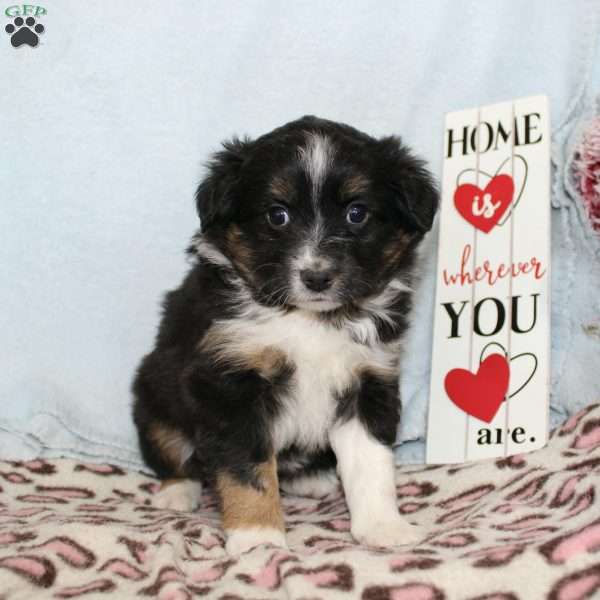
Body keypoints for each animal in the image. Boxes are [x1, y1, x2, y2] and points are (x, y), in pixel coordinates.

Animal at [132, 115, 436, 556]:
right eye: (277, 215)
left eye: (357, 213)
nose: (316, 277)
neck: (308, 318)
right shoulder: (230, 382)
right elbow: (249, 469)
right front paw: (257, 537)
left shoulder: (369, 378)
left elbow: (371, 463)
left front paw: (383, 527)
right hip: (154, 392)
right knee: (173, 452)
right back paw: (177, 493)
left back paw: (311, 479)